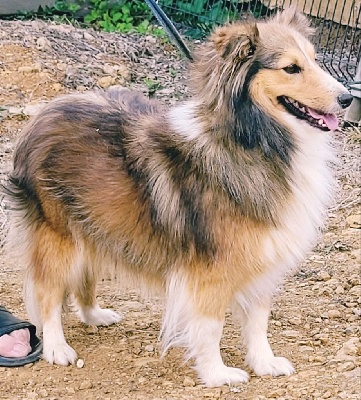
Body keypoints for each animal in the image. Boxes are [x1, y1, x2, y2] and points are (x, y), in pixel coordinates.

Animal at [3, 7, 352, 388]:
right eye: (291, 68)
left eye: (315, 60)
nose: (348, 99)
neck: (250, 140)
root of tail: (42, 115)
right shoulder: (212, 270)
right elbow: (211, 326)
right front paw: (217, 373)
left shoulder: (261, 258)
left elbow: (258, 320)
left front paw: (264, 363)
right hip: (60, 236)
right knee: (48, 293)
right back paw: (56, 347)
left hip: (95, 224)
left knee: (84, 276)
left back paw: (95, 315)